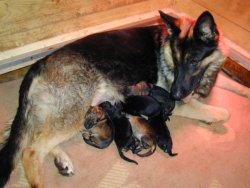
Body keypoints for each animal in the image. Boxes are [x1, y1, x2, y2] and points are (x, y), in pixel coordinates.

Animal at [0, 10, 229, 188]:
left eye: (193, 61)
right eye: (176, 59)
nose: (174, 95)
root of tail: (37, 65)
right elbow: (213, 110)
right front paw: (217, 115)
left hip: (55, 112)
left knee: (32, 137)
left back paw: (61, 160)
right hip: (76, 110)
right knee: (30, 150)